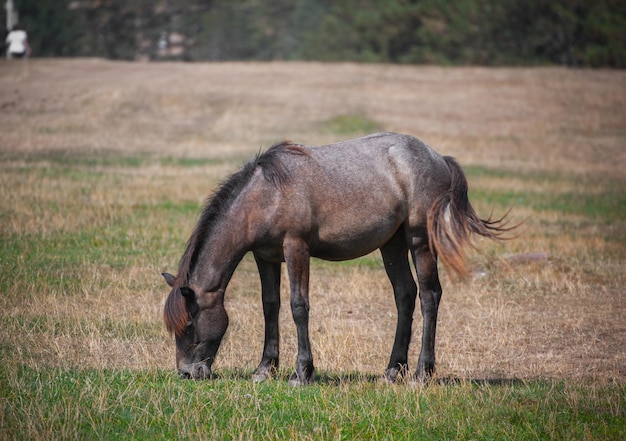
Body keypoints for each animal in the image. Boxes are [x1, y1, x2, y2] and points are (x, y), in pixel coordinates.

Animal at [162, 131, 512, 384]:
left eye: (190, 322)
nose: (187, 373)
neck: (266, 196)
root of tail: (439, 158)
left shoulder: (296, 248)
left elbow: (298, 307)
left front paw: (302, 372)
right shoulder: (266, 257)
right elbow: (270, 306)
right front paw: (264, 369)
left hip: (419, 240)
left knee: (429, 296)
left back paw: (421, 373)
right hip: (392, 245)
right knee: (405, 295)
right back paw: (392, 370)